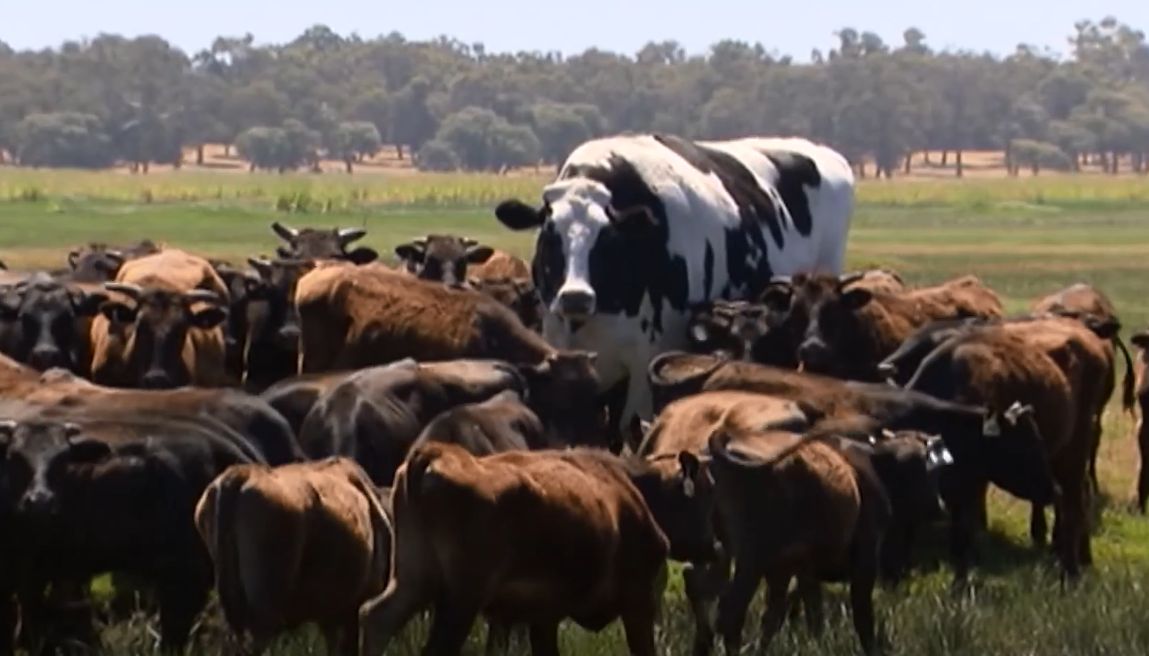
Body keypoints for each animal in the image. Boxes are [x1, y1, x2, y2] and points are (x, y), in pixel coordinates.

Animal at [358, 443, 714, 656]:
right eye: (704, 492)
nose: (712, 546)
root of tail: (432, 454)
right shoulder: (637, 601)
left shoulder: (540, 616)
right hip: (461, 599)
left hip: (414, 580)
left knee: (376, 617)